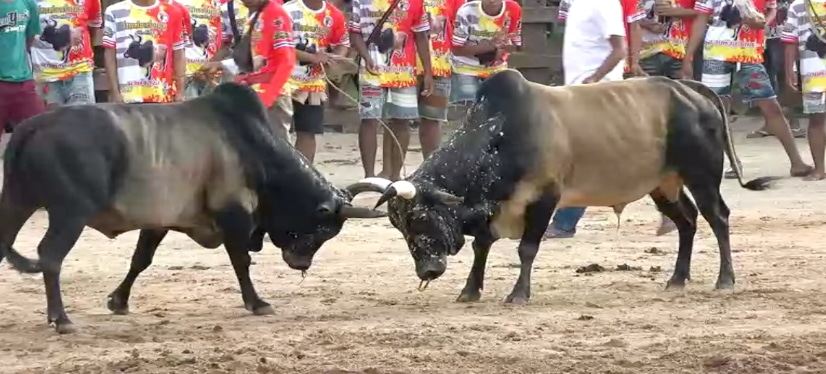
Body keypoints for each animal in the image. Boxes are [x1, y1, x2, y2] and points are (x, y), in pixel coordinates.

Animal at [0, 82, 384, 334]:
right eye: (322, 229)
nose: (301, 264)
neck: (254, 146)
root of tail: (34, 125)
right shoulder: (234, 216)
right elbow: (241, 262)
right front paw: (257, 302)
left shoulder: (158, 221)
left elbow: (140, 260)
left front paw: (118, 301)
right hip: (70, 214)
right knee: (50, 256)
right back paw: (61, 319)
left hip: (17, 202)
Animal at [346, 71, 772, 306]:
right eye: (399, 226)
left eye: (420, 217)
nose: (428, 270)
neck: (500, 132)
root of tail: (689, 89)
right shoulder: (494, 207)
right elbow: (482, 246)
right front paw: (470, 290)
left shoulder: (543, 198)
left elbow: (526, 249)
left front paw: (518, 294)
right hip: (663, 185)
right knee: (687, 223)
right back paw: (677, 278)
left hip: (701, 175)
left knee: (718, 218)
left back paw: (725, 279)